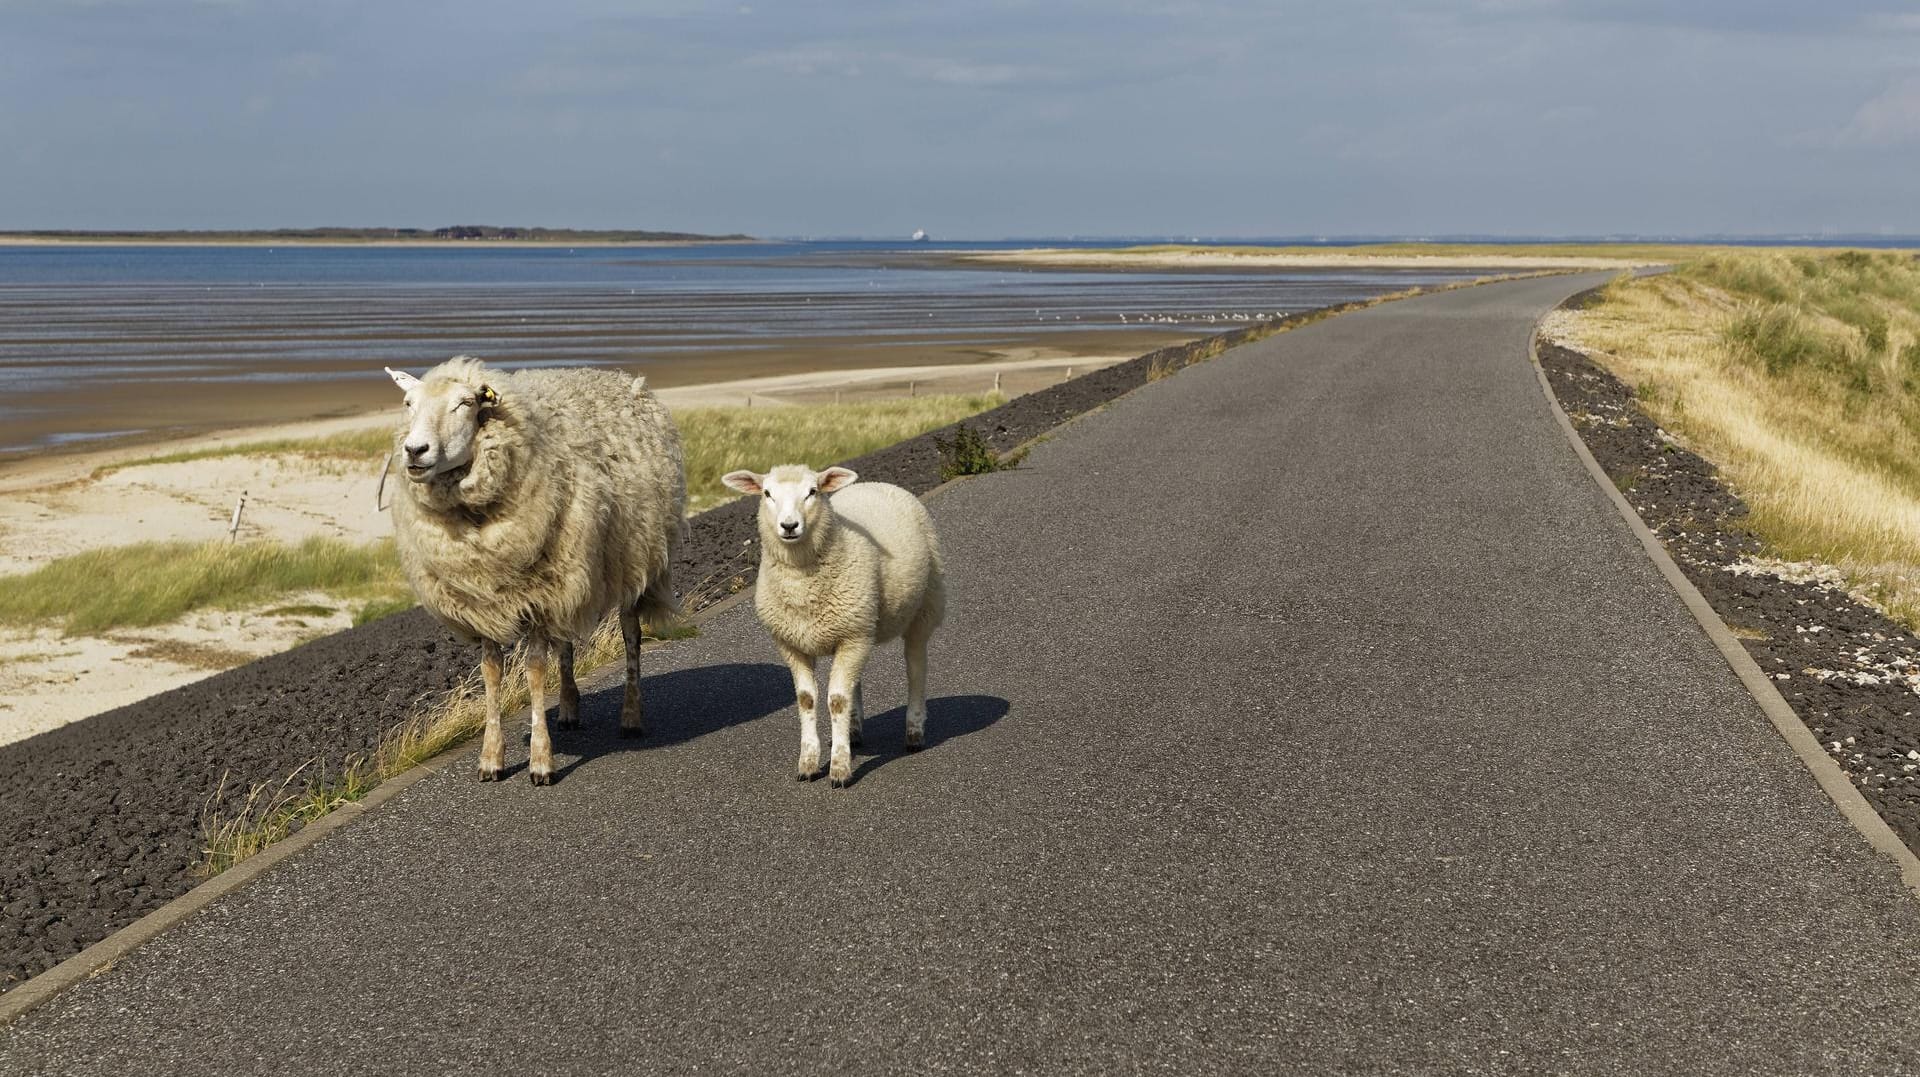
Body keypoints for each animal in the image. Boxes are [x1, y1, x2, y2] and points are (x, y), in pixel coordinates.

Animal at [382, 357, 683, 787]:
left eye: (465, 404)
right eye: (408, 403)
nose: (414, 450)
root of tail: (620, 378)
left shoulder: (536, 597)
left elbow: (535, 671)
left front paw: (541, 761)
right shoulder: (487, 601)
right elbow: (491, 673)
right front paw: (491, 758)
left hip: (634, 562)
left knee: (632, 638)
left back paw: (630, 716)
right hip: (569, 573)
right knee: (566, 642)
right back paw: (570, 708)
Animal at [721, 460, 944, 779]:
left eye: (812, 492)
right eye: (767, 493)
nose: (789, 526)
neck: (801, 584)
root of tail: (876, 483)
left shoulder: (853, 636)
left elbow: (836, 701)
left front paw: (839, 767)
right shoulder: (793, 644)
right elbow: (807, 699)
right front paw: (809, 761)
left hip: (923, 607)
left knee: (916, 668)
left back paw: (914, 731)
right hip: (859, 626)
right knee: (855, 681)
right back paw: (854, 731)